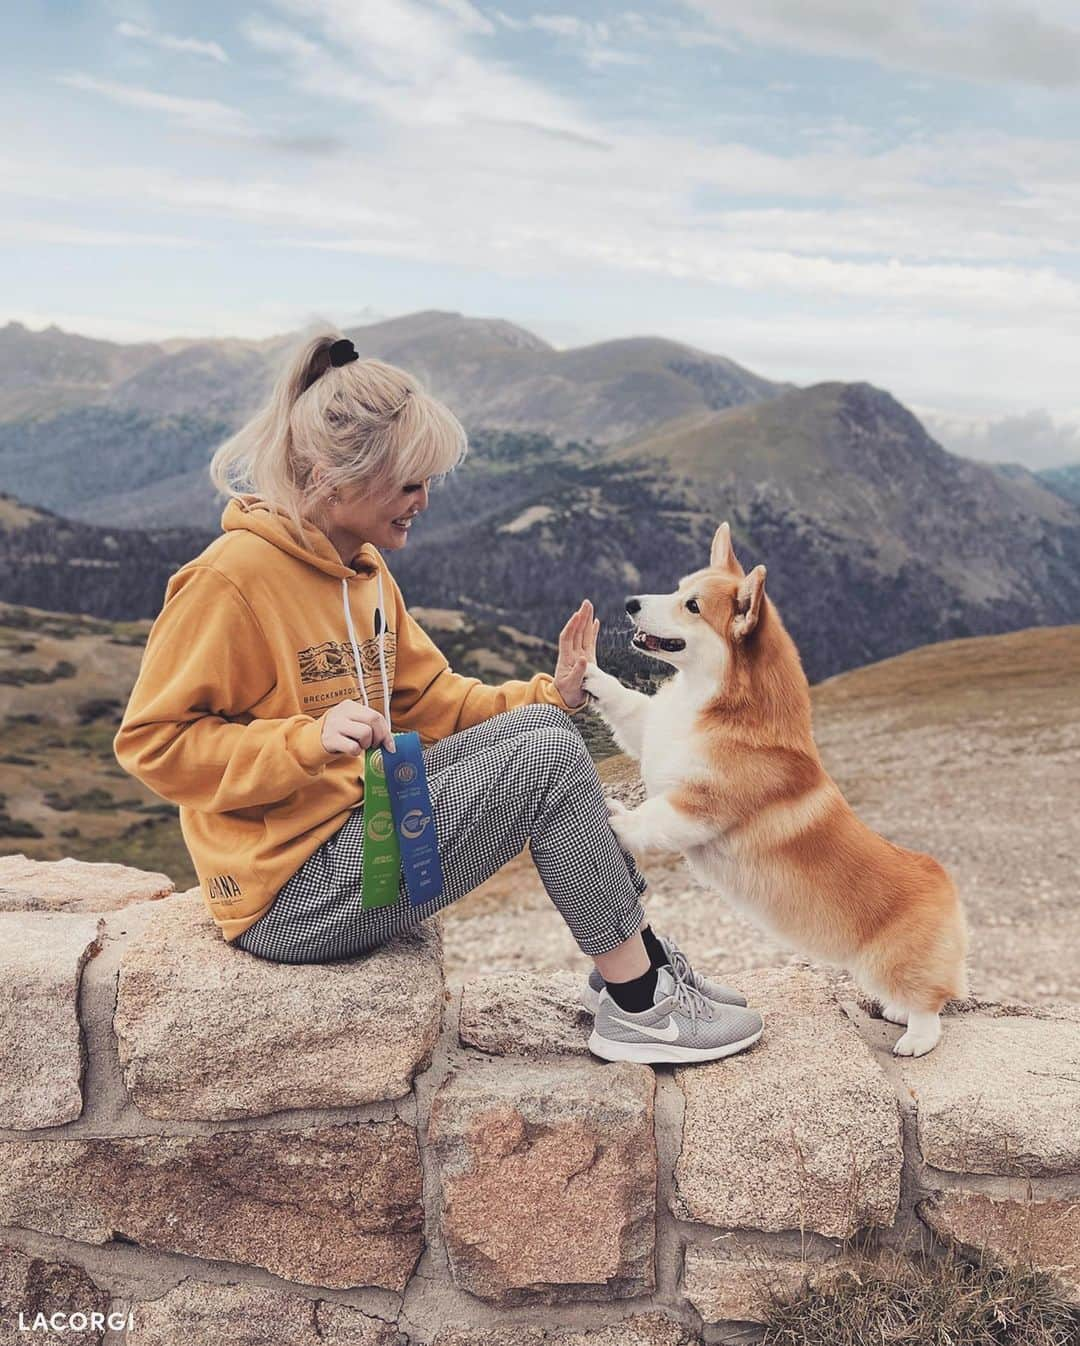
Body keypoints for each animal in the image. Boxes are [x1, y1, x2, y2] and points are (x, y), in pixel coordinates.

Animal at [581, 519, 969, 1055]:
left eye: (693, 606)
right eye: (678, 588)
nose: (629, 602)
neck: (714, 706)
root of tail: (943, 883)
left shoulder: (700, 806)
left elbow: (655, 818)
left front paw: (616, 819)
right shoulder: (650, 733)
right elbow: (626, 705)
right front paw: (589, 672)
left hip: (889, 963)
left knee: (931, 1003)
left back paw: (914, 1038)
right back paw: (895, 1013)